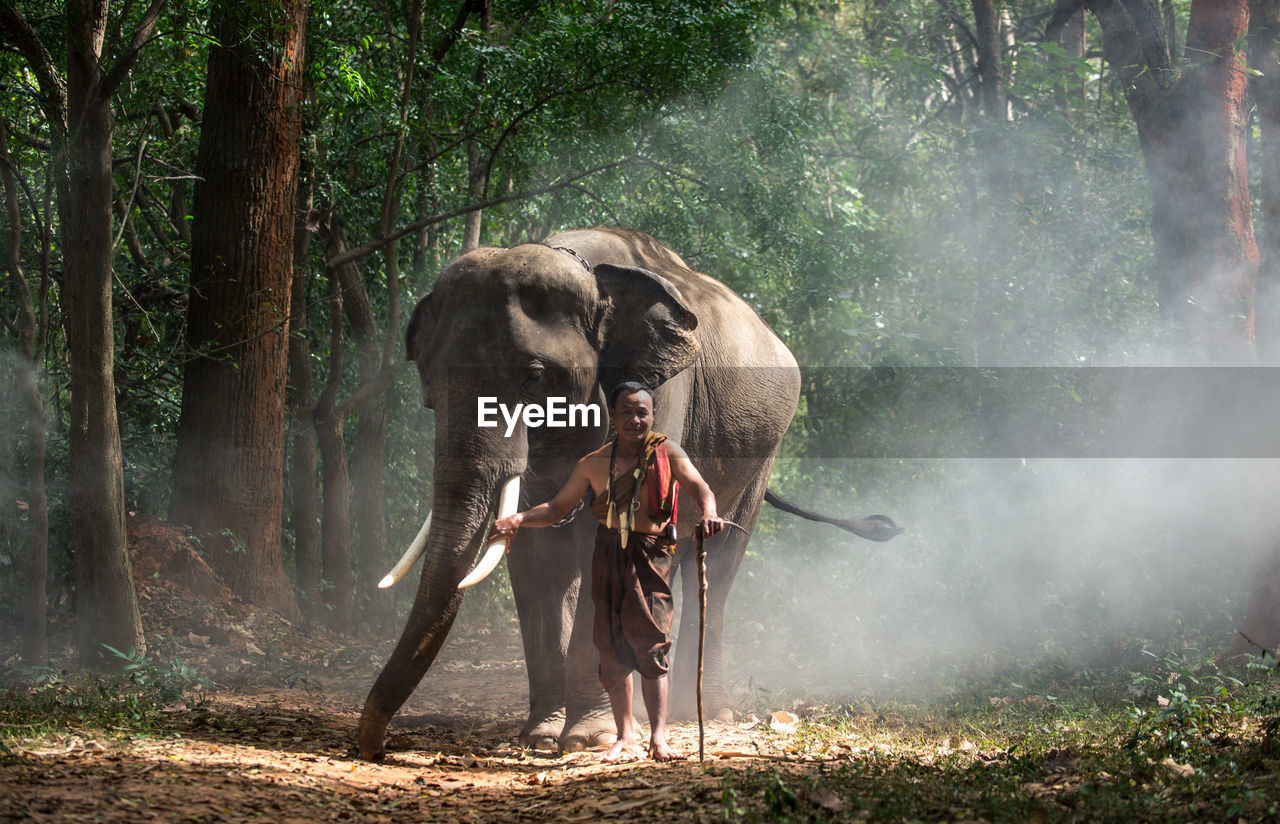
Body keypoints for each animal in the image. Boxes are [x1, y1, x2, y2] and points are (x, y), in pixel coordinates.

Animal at [355, 226, 901, 757]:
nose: (377, 747)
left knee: (719, 560)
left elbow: (606, 547)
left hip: (762, 456)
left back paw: (705, 711)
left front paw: (586, 739)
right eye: (428, 382)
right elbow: (536, 556)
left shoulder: (661, 394)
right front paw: (541, 736)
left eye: (534, 376)